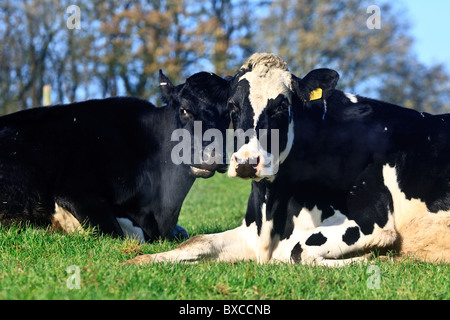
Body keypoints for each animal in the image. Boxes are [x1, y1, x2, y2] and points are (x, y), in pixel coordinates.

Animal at [0, 69, 230, 240]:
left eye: (229, 113)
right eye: (184, 110)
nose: (212, 157)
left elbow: (182, 231)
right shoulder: (75, 192)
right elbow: (117, 233)